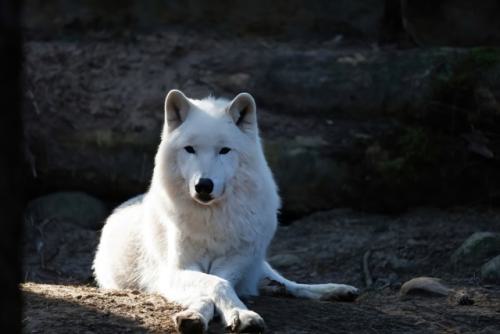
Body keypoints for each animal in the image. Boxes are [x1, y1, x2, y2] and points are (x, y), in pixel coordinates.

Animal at [93, 90, 360, 332]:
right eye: (190, 149)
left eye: (224, 150)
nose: (204, 185)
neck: (211, 219)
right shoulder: (175, 271)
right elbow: (214, 287)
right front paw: (200, 315)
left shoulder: (235, 261)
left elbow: (221, 283)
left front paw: (240, 314)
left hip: (257, 260)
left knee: (291, 284)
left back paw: (337, 290)